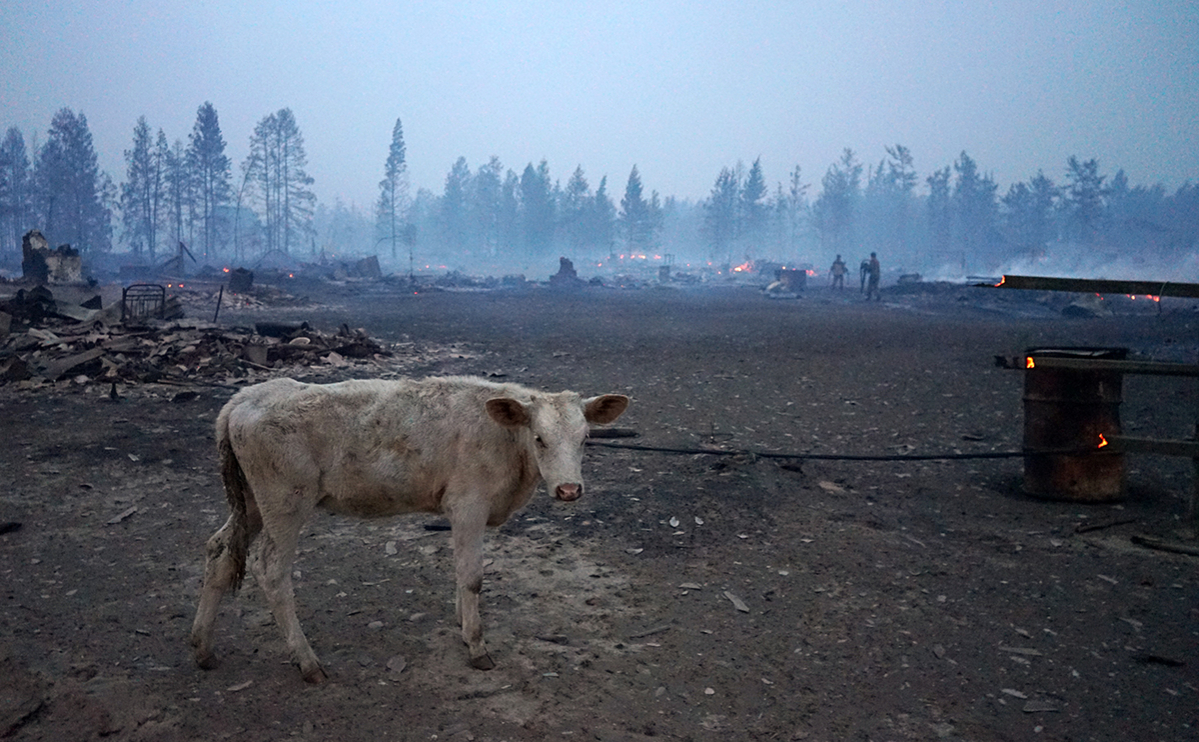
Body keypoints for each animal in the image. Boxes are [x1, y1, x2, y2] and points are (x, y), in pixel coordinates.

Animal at [187, 373, 628, 680]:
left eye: (585, 438)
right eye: (539, 438)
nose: (569, 489)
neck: (504, 440)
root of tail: (245, 397)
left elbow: (460, 571)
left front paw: (461, 623)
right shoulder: (468, 504)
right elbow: (472, 576)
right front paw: (476, 646)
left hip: (251, 503)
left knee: (220, 550)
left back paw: (203, 649)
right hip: (285, 502)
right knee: (271, 570)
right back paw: (308, 662)